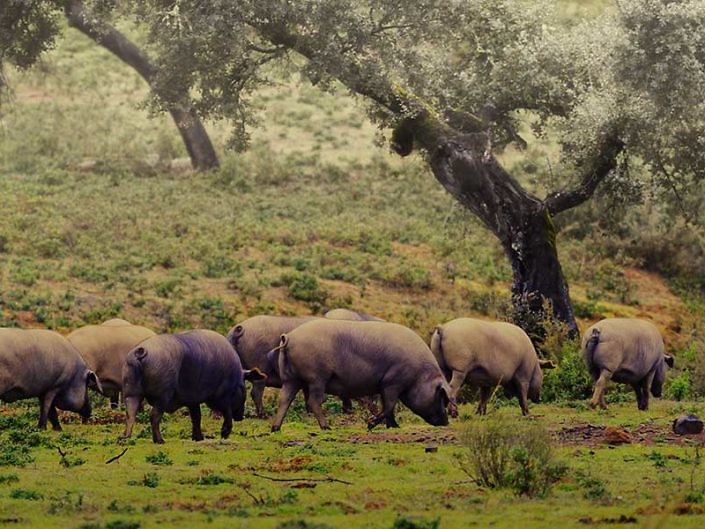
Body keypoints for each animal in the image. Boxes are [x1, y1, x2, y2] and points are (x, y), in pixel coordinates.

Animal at [121, 328, 264, 444]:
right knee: (154, 416)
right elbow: (226, 413)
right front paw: (224, 434)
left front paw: (198, 438)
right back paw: (160, 440)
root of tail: (141, 351)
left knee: (130, 414)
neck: (234, 376)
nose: (240, 417)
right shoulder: (222, 396)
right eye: (243, 388)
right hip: (162, 396)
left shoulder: (193, 399)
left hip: (131, 393)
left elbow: (196, 417)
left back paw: (124, 438)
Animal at [270, 320, 452, 432]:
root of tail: (289, 337)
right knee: (313, 401)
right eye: (441, 396)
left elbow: (389, 407)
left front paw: (394, 427)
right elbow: (389, 406)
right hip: (317, 378)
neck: (420, 374)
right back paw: (327, 428)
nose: (446, 422)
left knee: (283, 400)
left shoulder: (384, 386)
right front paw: (370, 425)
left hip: (290, 378)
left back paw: (275, 429)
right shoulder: (392, 382)